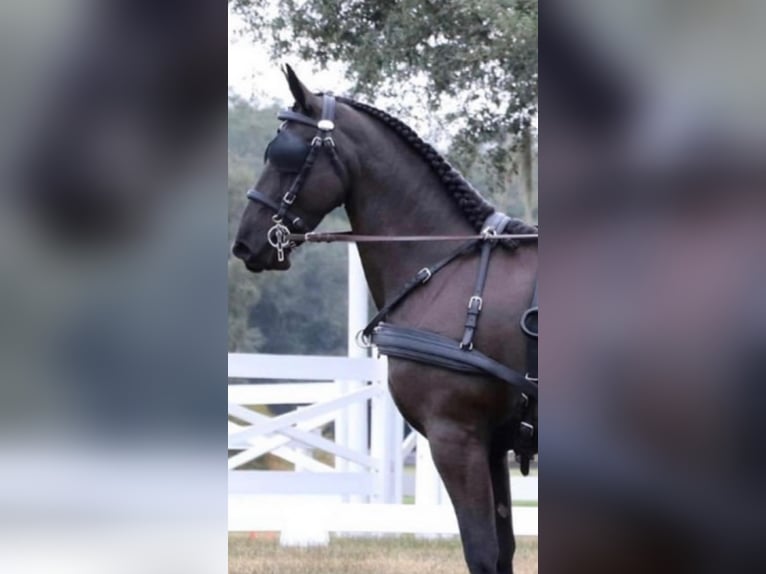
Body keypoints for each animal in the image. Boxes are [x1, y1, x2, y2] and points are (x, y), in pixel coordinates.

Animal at [233, 65, 538, 574]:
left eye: (284, 153)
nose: (246, 241)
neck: (442, 268)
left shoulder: (455, 438)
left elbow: (481, 551)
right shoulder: (492, 444)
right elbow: (503, 551)